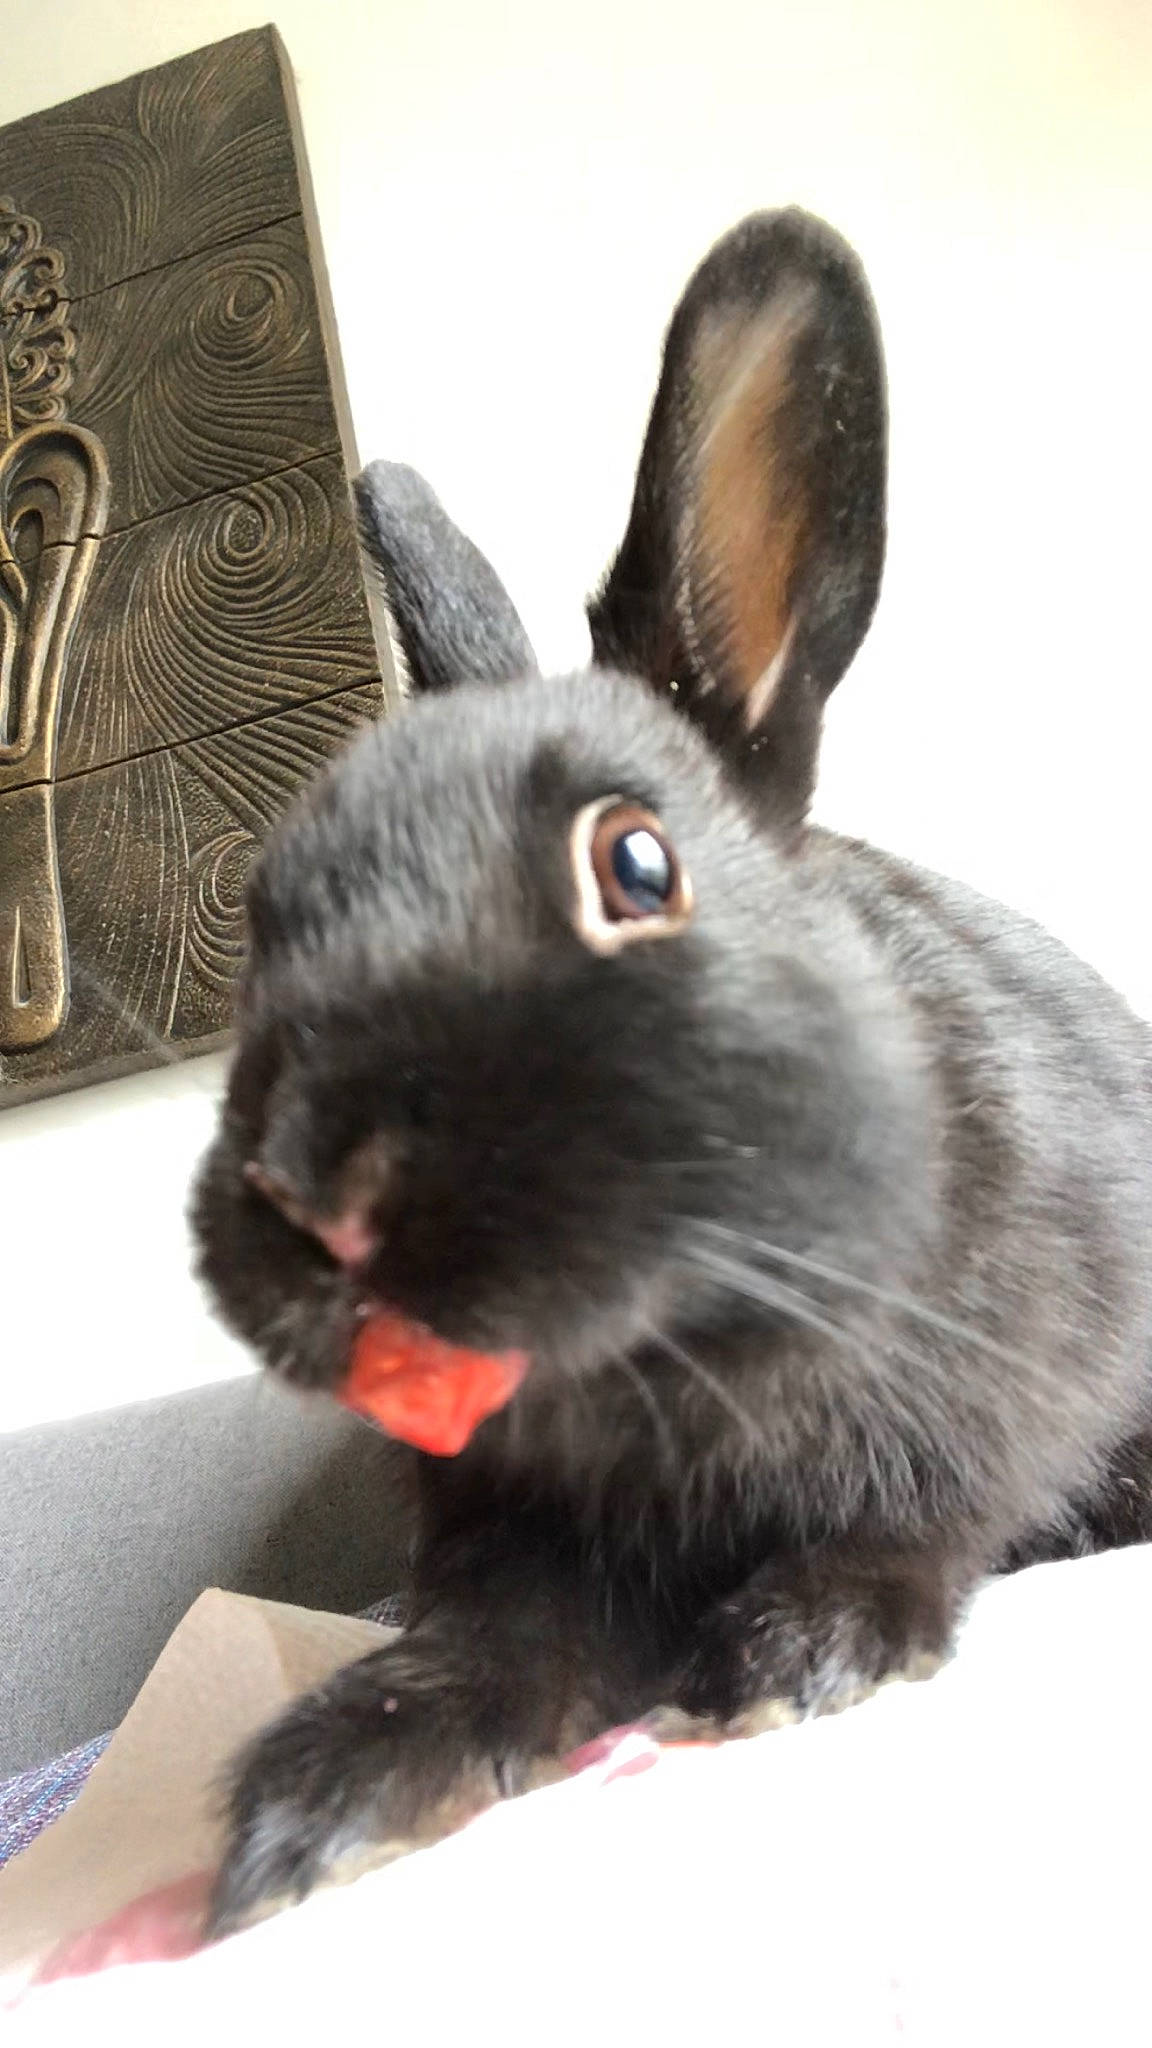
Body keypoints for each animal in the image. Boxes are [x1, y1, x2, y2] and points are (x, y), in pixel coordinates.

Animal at [192, 208, 1152, 1937]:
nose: (318, 1199)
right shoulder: (509, 1535)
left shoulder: (1023, 1372)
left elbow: (940, 1510)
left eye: (635, 863)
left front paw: (808, 1647)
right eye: (265, 907)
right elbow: (494, 1640)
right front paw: (340, 1793)